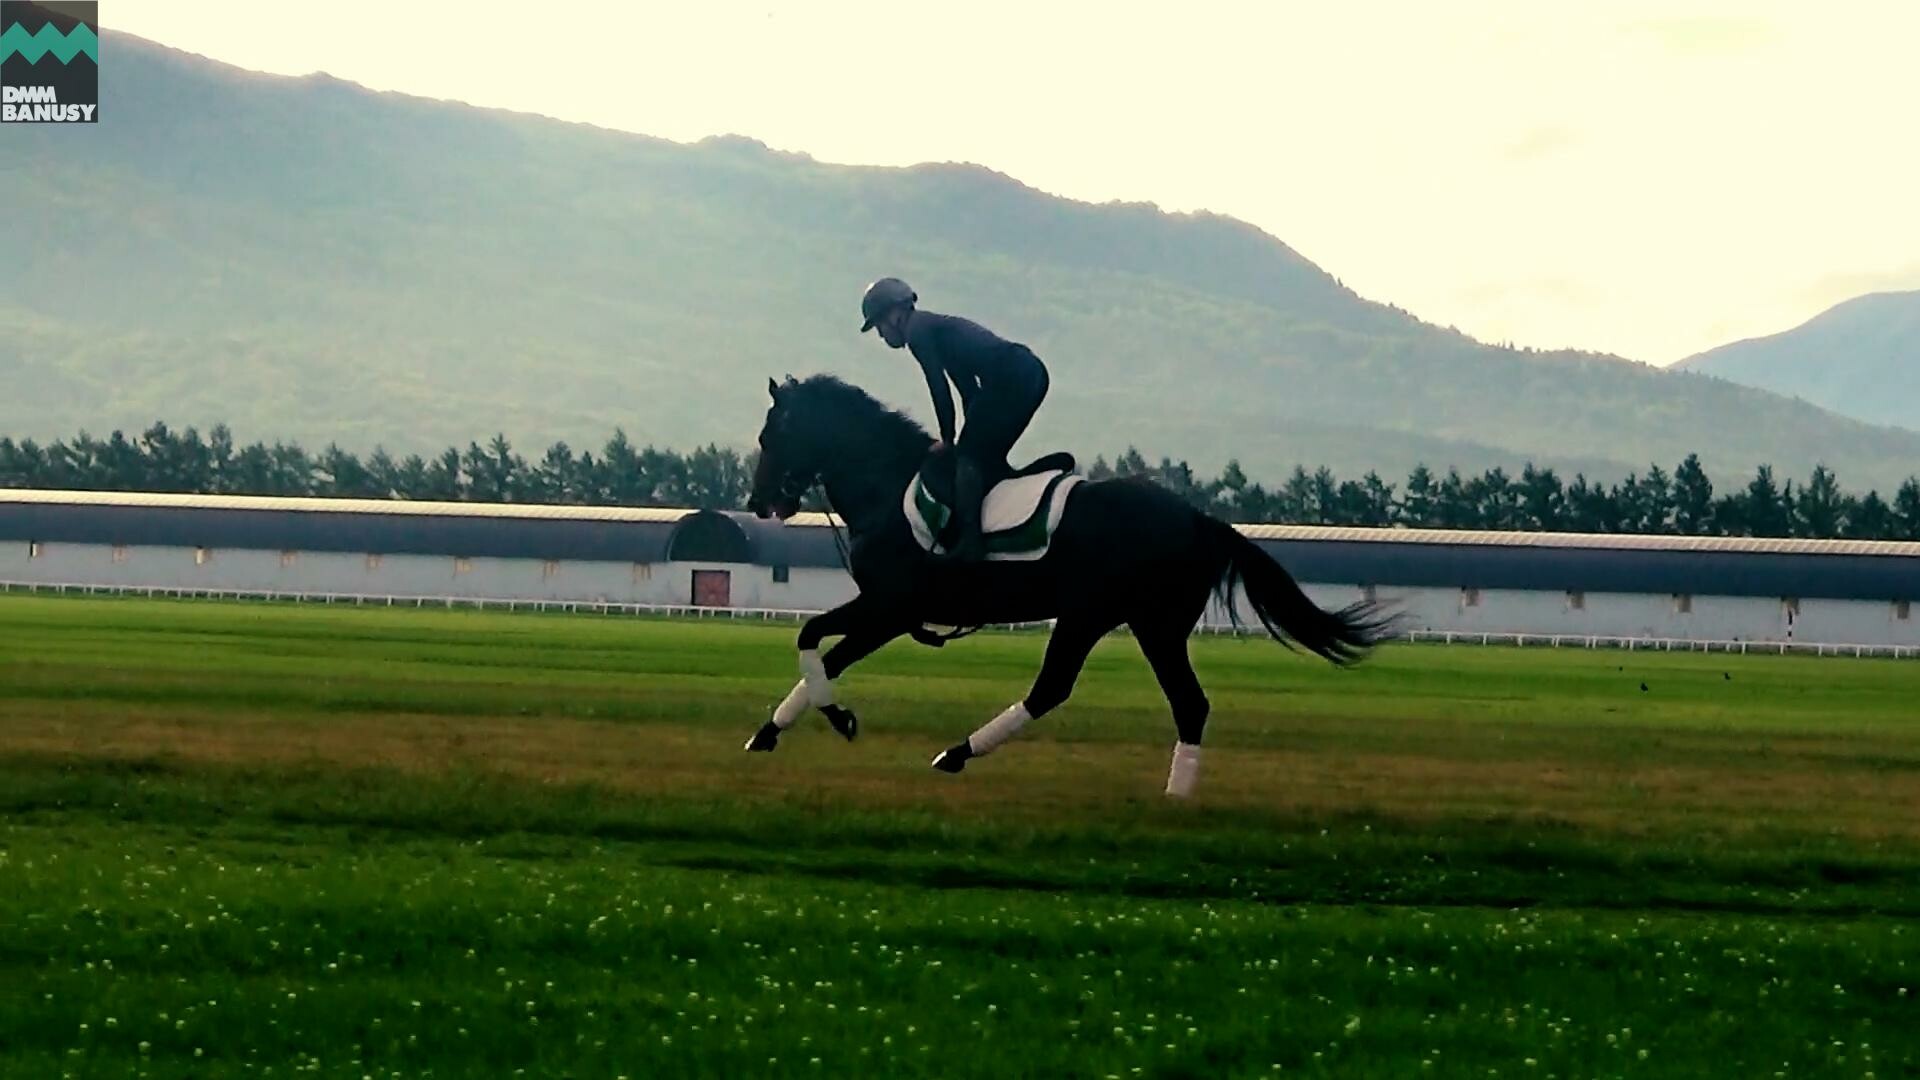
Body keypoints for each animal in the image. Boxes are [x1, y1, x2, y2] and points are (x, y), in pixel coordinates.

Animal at [737, 374, 1397, 795]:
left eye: (770, 435)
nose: (760, 502)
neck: (887, 485)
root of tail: (1197, 518)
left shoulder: (890, 606)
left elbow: (812, 640)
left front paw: (837, 718)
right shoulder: (889, 612)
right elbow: (825, 653)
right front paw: (769, 733)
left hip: (1104, 617)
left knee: (1066, 688)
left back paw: (961, 753)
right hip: (1142, 623)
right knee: (1175, 701)